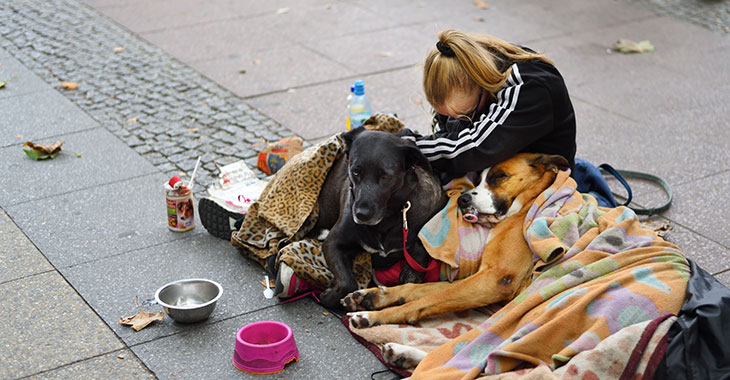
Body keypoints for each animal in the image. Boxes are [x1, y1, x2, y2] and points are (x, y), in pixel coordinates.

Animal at [312, 127, 444, 308]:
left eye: (385, 176)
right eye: (355, 171)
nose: (361, 214)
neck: (388, 217)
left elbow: (413, 270)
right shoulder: (333, 242)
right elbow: (348, 283)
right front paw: (329, 297)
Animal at [342, 153, 568, 332]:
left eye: (499, 176)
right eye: (478, 179)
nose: (462, 200)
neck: (529, 200)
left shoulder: (495, 279)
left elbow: (427, 299)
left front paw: (374, 317)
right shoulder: (481, 277)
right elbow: (423, 289)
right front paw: (373, 296)